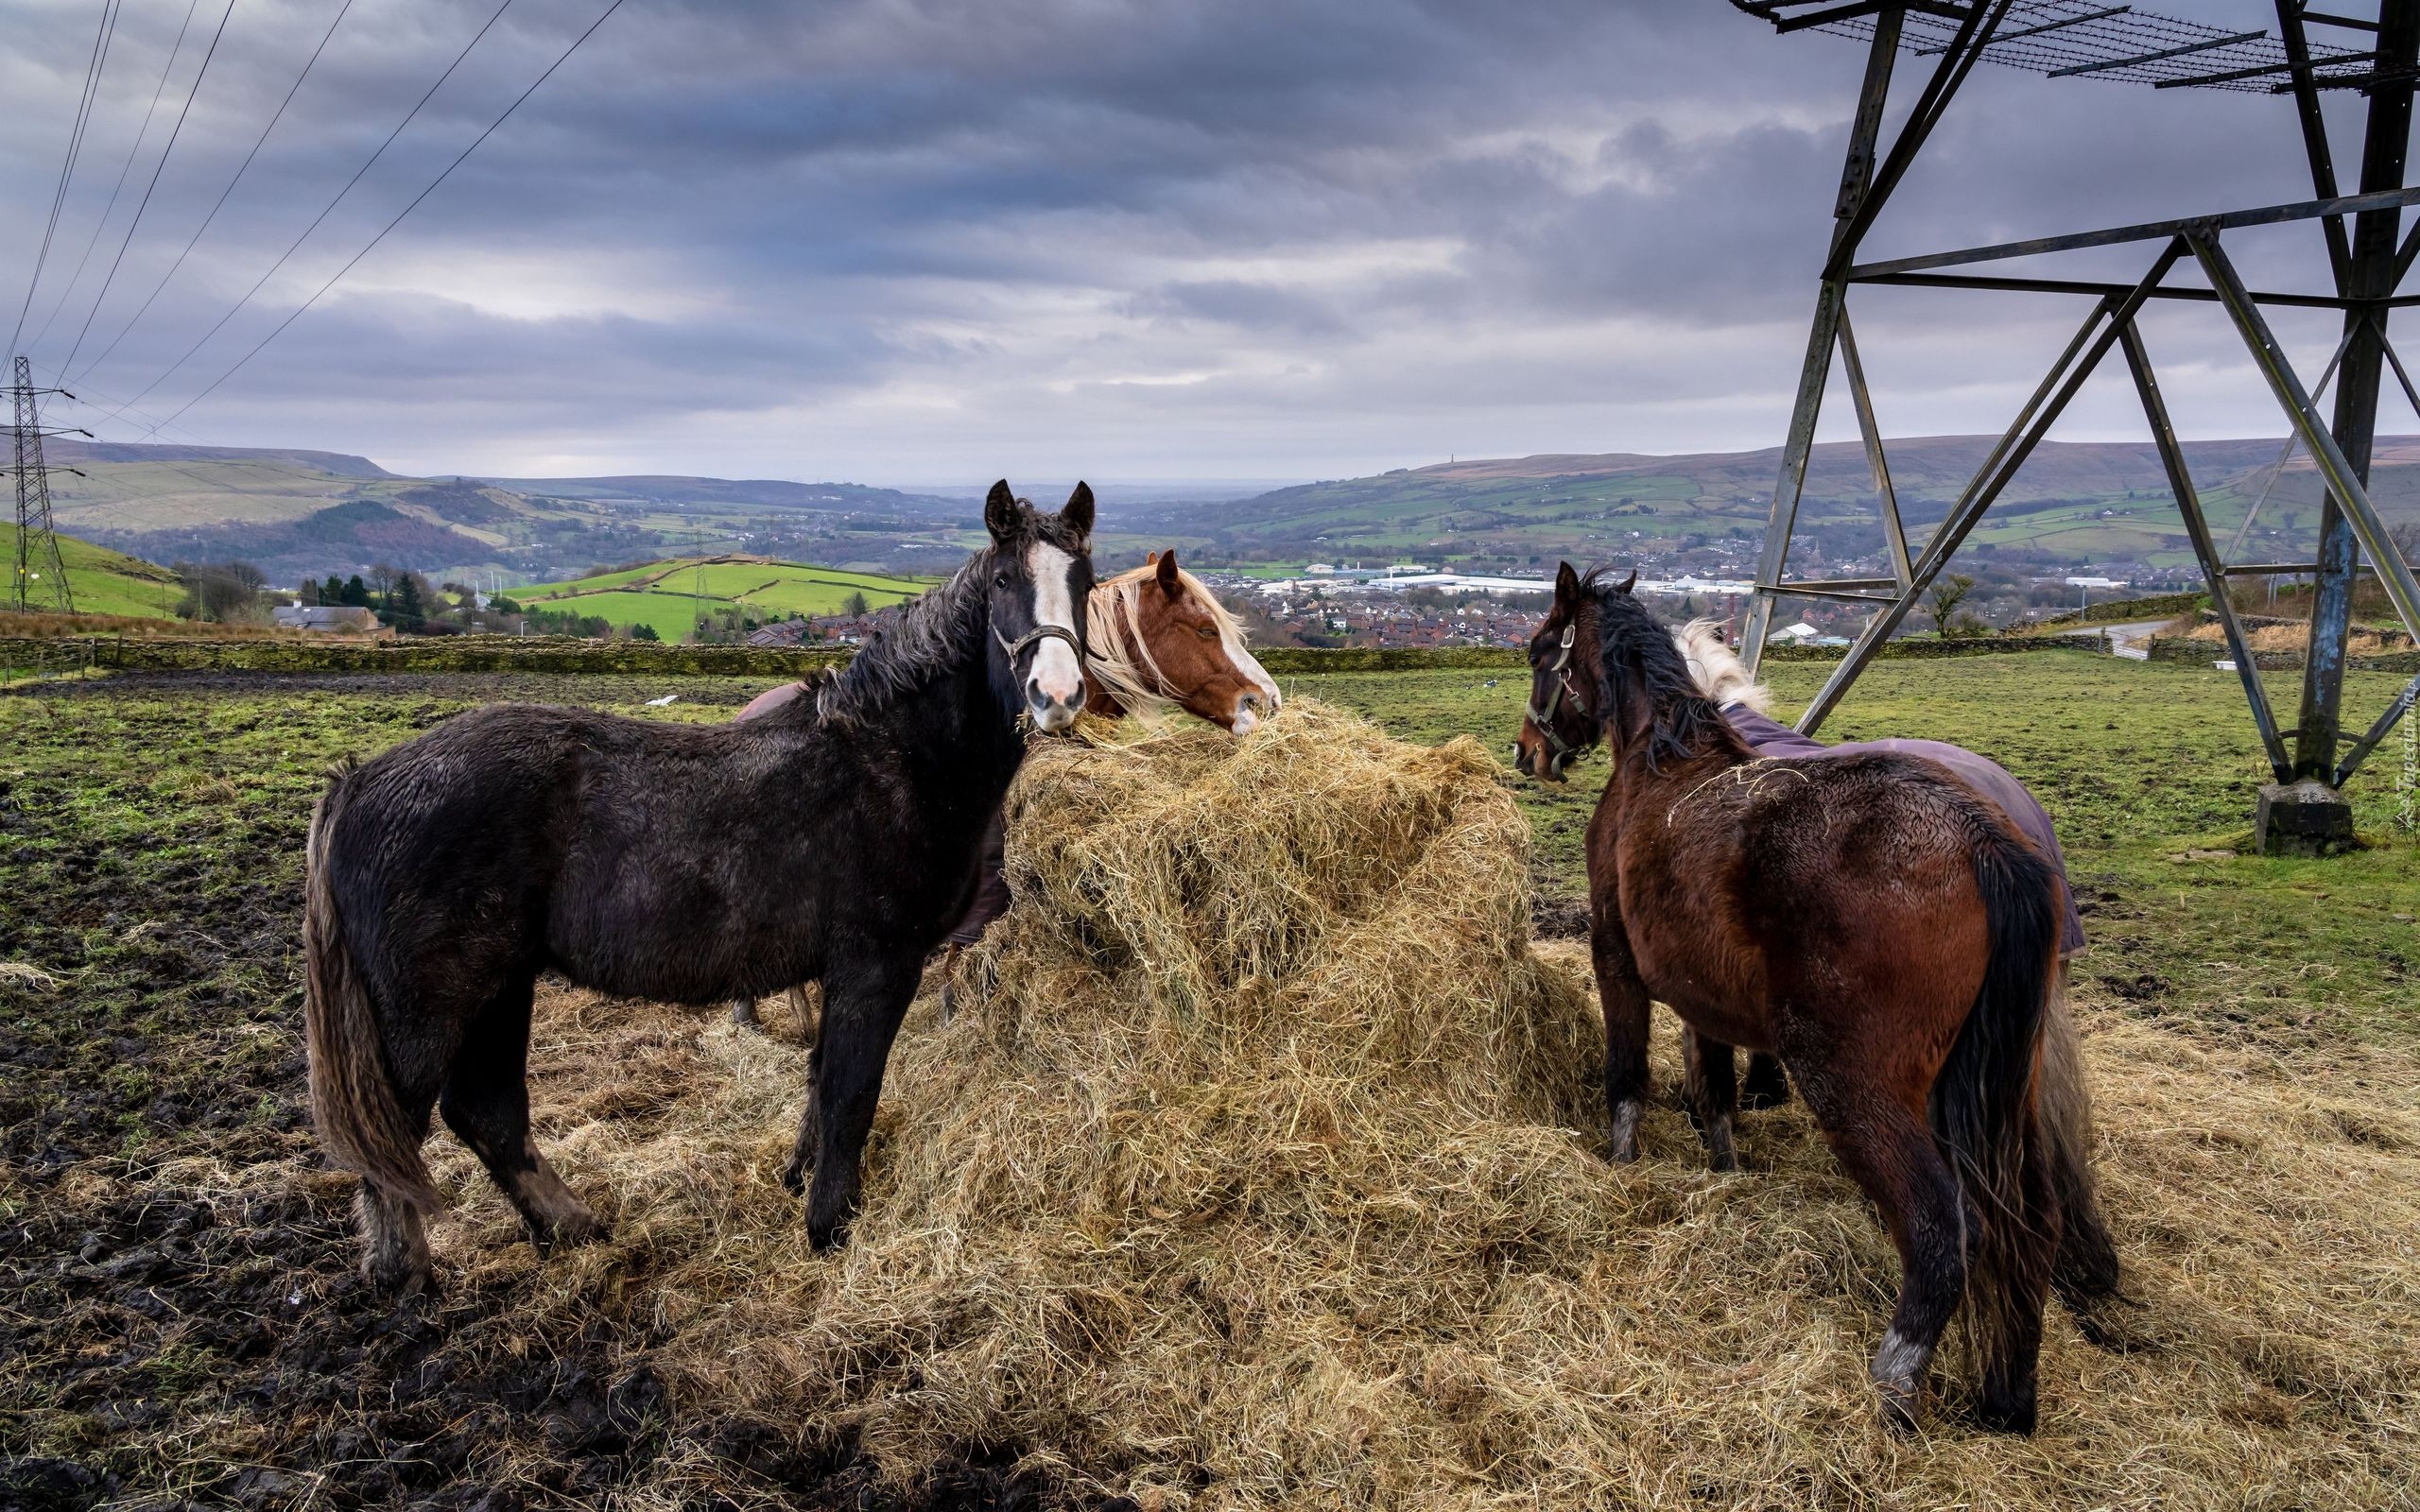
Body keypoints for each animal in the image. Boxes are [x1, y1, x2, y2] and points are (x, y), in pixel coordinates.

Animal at [304, 473, 1098, 1286]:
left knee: (485, 1112)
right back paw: (407, 1270)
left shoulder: (843, 971)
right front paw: (830, 1228)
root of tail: (357, 784)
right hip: (429, 1007)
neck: (892, 758)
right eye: (1003, 583)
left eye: (1085, 583)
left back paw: (574, 1226)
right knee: (399, 1131)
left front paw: (798, 1181)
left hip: (499, 985)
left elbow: (820, 1083)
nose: (1058, 696)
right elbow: (850, 1095)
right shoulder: (877, 965)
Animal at [1510, 563, 2062, 1422]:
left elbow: (1626, 1078)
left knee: (1943, 1231)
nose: (1527, 750)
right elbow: (1713, 1091)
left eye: (1541, 651)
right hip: (1998, 1097)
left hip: (1853, 1086)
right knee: (2025, 1229)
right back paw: (2009, 1397)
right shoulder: (1700, 991)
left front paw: (1623, 1168)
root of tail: (1980, 840)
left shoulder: (1617, 961)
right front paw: (1723, 1170)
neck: (1660, 756)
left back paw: (1892, 1387)